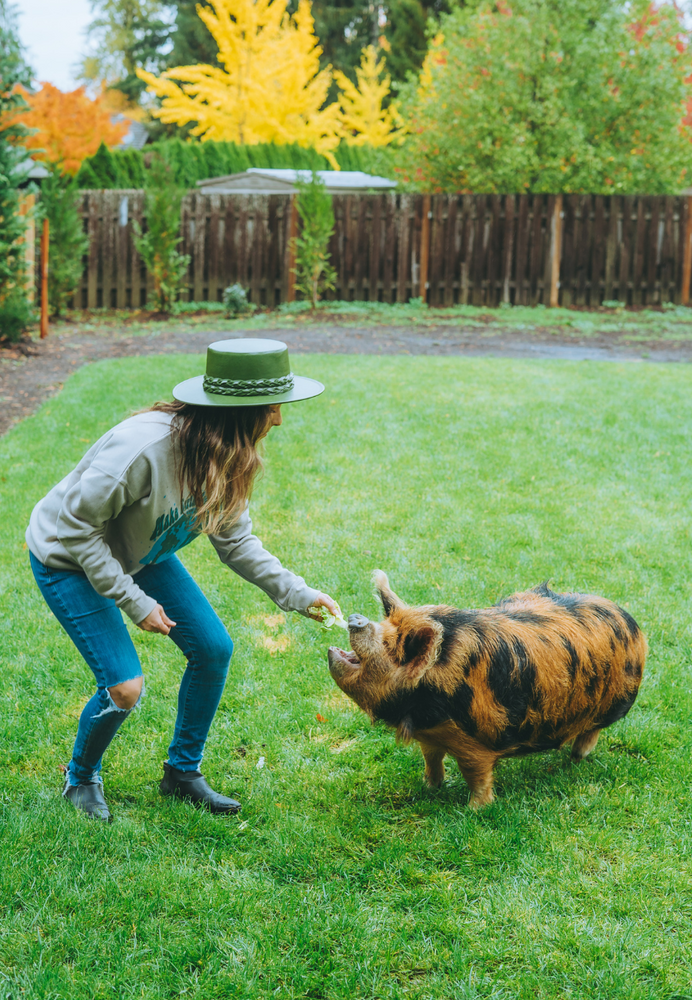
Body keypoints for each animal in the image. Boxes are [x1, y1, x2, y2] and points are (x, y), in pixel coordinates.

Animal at [328, 572, 648, 804]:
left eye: (390, 645)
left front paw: (475, 809)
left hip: (610, 704)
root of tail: (630, 621)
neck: (420, 711)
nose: (356, 619)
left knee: (591, 733)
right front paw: (429, 787)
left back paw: (575, 759)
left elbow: (476, 775)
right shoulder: (430, 735)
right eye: (384, 624)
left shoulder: (476, 743)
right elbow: (431, 759)